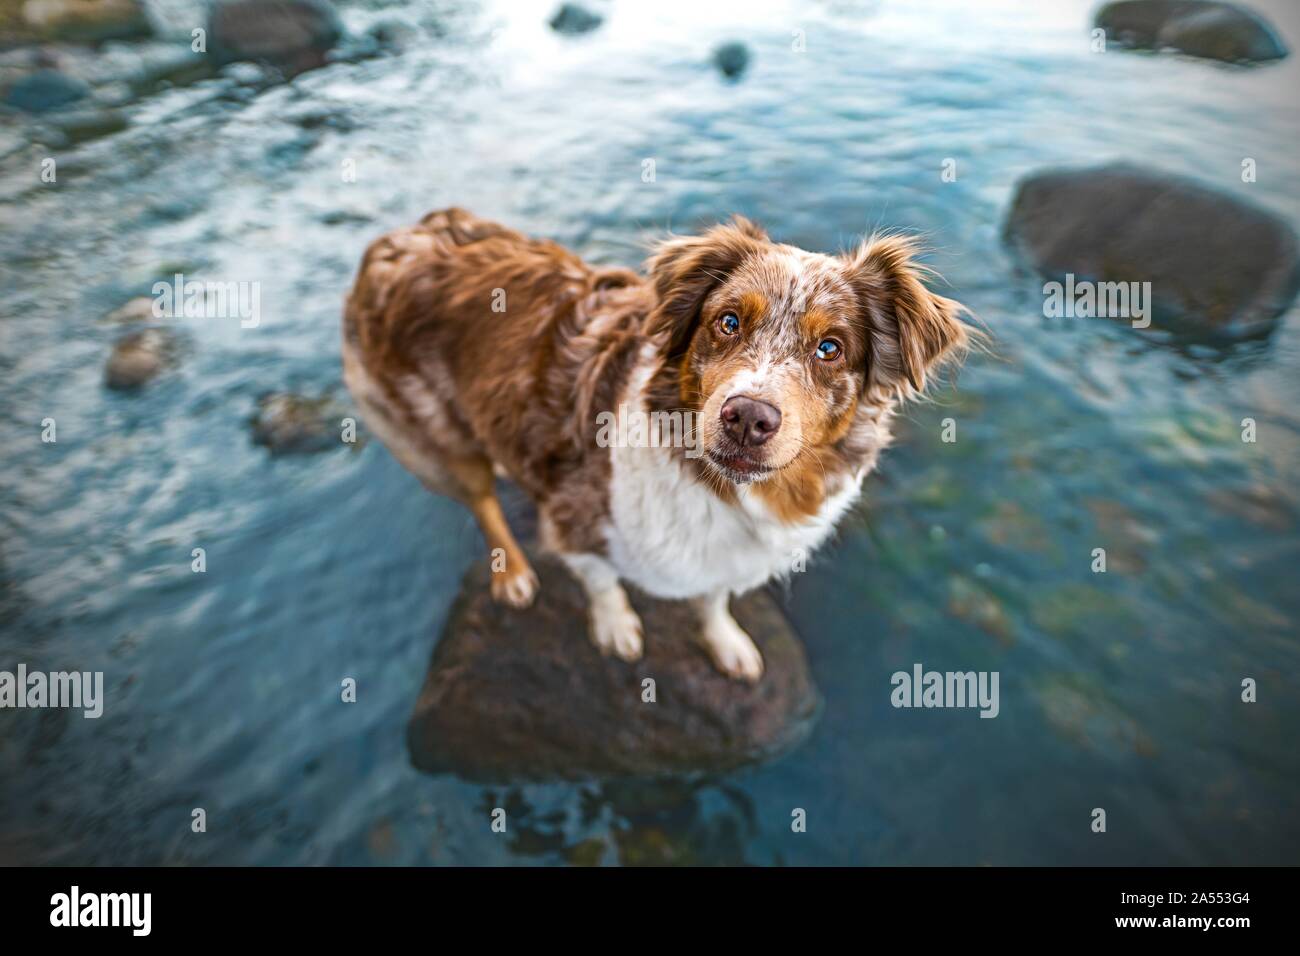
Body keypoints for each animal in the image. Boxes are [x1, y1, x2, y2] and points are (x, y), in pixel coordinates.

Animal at [340, 208, 972, 681]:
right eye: (728, 322)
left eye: (831, 348)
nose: (747, 418)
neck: (721, 489)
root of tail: (398, 238)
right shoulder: (574, 516)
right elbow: (600, 580)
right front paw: (616, 626)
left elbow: (713, 598)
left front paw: (726, 641)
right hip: (433, 441)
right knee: (481, 500)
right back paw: (512, 573)